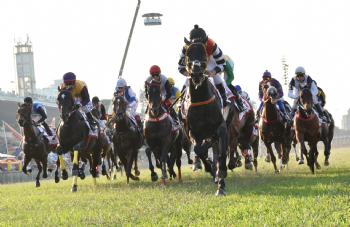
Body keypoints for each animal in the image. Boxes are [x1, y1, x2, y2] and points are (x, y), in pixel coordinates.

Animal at [182, 36, 228, 196]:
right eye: (187, 53)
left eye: (203, 52)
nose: (196, 75)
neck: (201, 100)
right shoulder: (192, 131)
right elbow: (198, 149)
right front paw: (208, 167)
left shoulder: (221, 126)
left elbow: (221, 149)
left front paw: (221, 172)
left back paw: (221, 184)